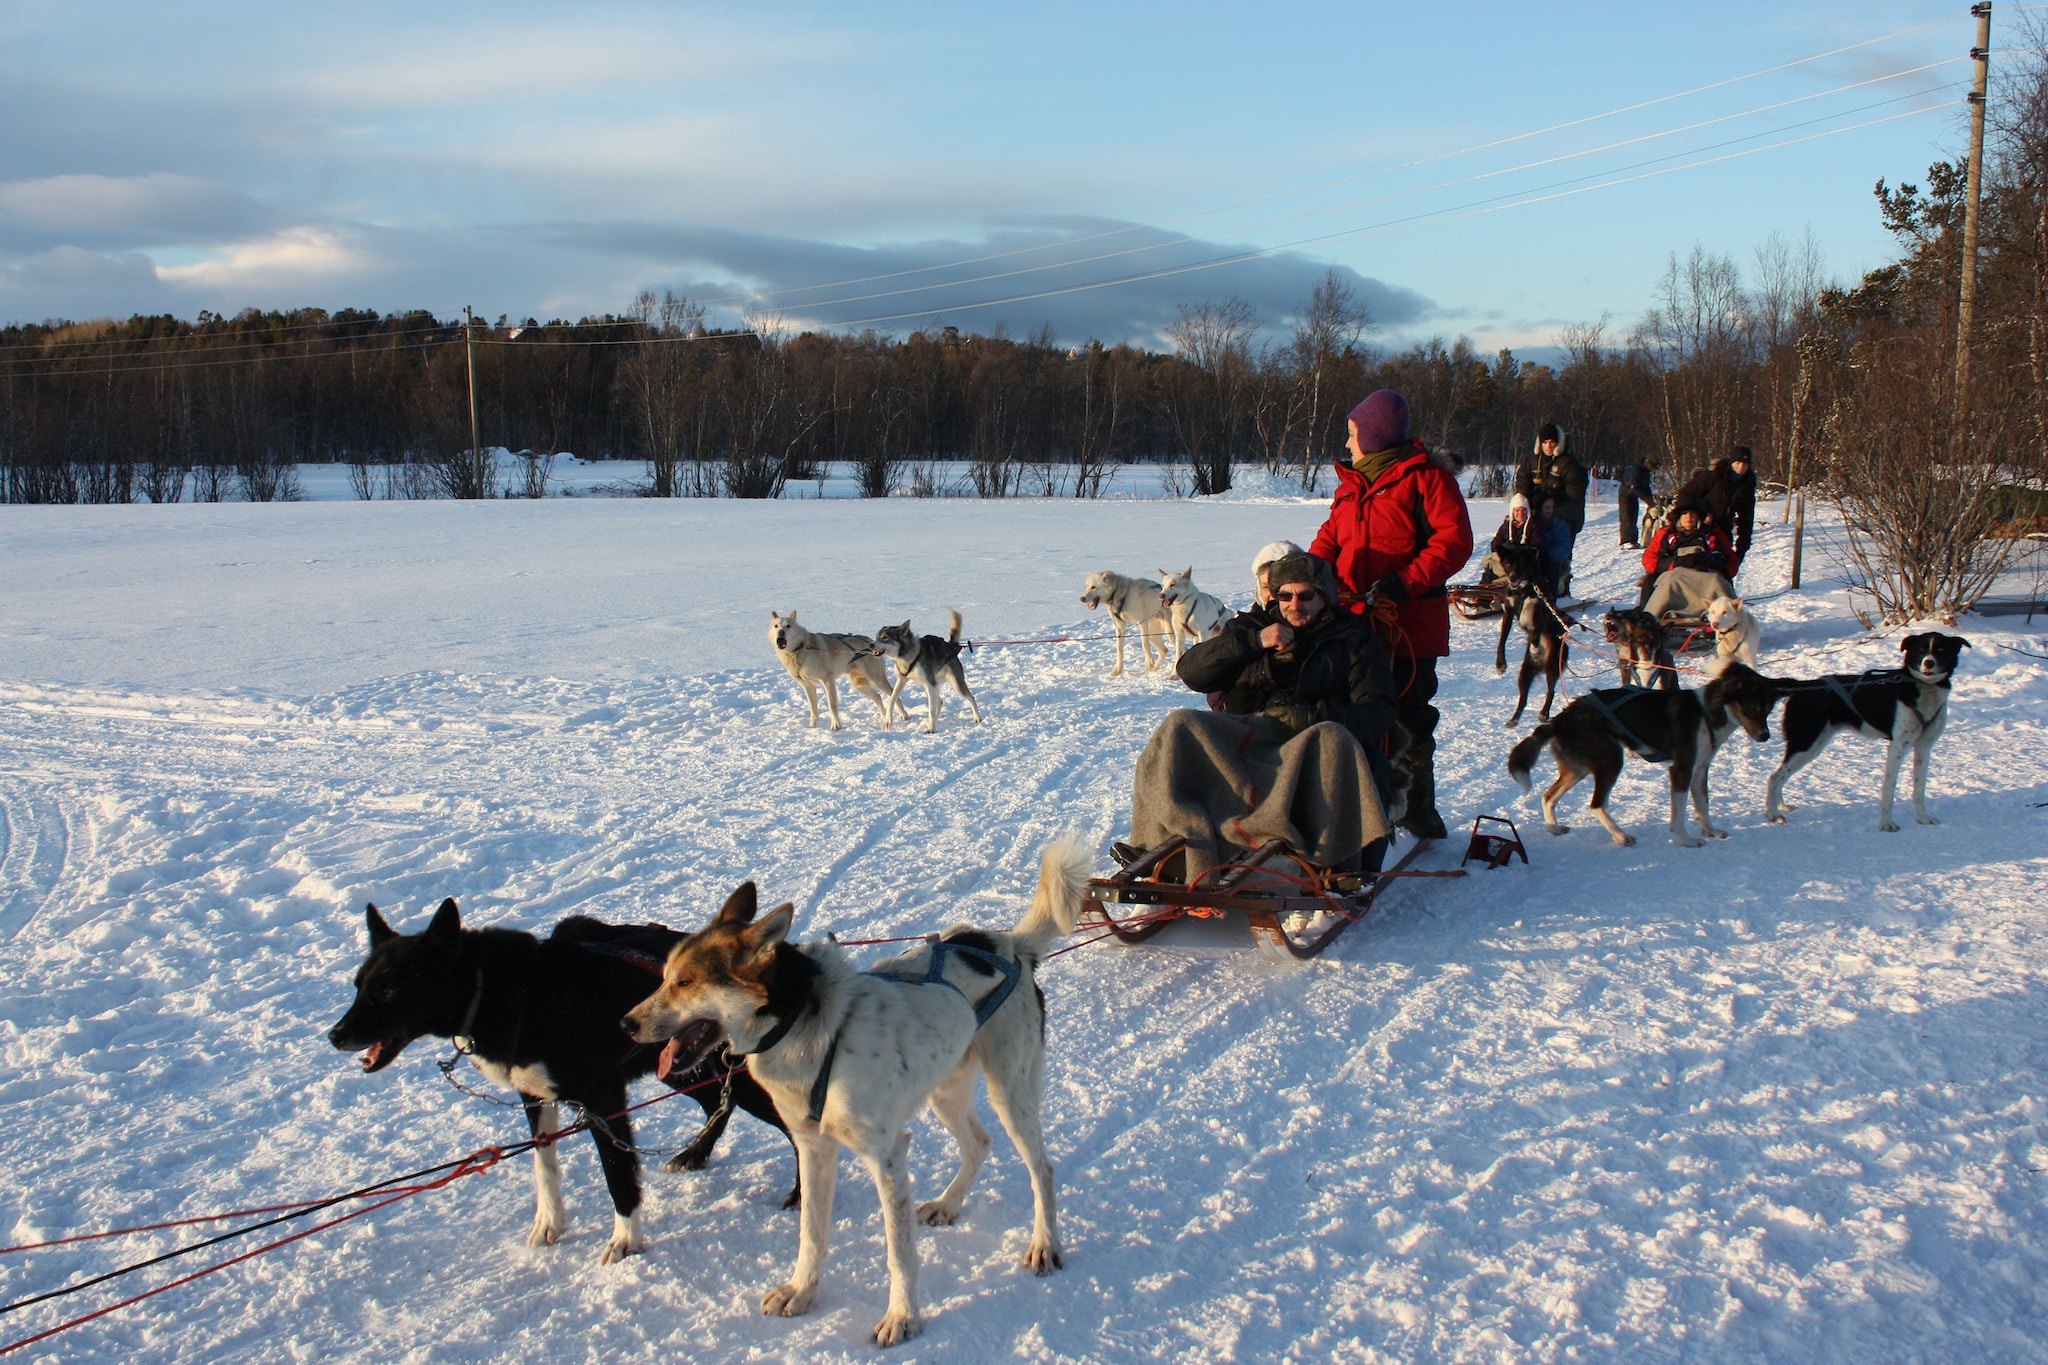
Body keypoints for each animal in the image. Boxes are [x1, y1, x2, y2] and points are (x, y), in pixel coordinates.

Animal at [323, 900, 794, 1268]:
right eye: (358, 986)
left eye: (388, 988)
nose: (335, 1035)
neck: (521, 996)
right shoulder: (534, 1096)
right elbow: (544, 1164)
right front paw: (549, 1223)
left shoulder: (604, 1101)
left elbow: (618, 1175)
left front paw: (626, 1241)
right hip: (680, 1069)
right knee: (719, 1103)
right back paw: (694, 1154)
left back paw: (796, 1194)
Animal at [618, 834, 1089, 1342]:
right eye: (665, 976)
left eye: (685, 982)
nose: (626, 1024)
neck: (807, 1026)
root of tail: (1010, 945)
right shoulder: (814, 1148)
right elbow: (811, 1232)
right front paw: (802, 1291)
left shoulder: (887, 1156)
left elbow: (899, 1252)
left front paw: (903, 1316)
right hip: (943, 1092)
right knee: (979, 1144)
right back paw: (948, 1203)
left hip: (1011, 1093)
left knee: (1042, 1169)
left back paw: (1044, 1243)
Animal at [1499, 663, 1785, 843]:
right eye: (1751, 709)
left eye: (1768, 711)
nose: (1765, 736)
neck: (1706, 712)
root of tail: (1558, 719)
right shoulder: (1681, 769)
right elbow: (1679, 812)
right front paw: (1686, 840)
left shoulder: (1699, 770)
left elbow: (1703, 806)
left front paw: (1710, 831)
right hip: (1611, 761)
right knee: (1596, 804)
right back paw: (1620, 836)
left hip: (1578, 769)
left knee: (1548, 796)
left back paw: (1555, 827)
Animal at [1761, 630, 1966, 834]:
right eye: (1921, 650)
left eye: (1940, 650)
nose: (1929, 662)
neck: (1922, 688)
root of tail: (1801, 687)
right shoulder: (1897, 747)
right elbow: (1889, 789)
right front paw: (1886, 824)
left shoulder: (1924, 746)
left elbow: (1919, 787)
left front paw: (1923, 818)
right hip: (1806, 743)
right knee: (1774, 777)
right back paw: (1773, 814)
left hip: (1813, 746)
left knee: (1781, 775)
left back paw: (1781, 806)